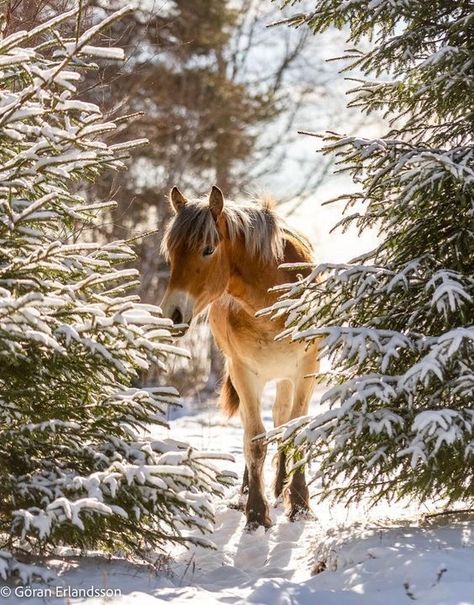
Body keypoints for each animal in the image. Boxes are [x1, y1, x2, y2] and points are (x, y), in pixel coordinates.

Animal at [159, 185, 318, 528]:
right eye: (171, 253)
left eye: (207, 250)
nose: (172, 315)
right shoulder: (244, 371)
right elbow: (254, 440)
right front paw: (256, 513)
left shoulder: (306, 368)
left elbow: (296, 429)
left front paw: (300, 505)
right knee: (253, 425)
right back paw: (248, 491)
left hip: (285, 375)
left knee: (283, 417)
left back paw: (281, 486)